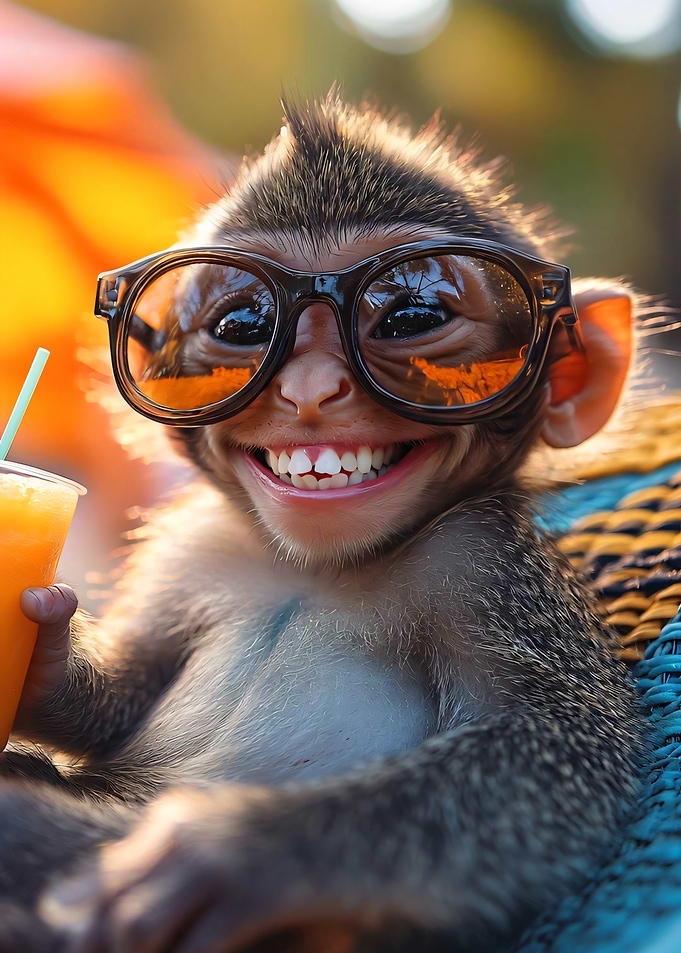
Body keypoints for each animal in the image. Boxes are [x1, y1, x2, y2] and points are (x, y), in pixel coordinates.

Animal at [0, 97, 645, 953]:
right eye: (243, 321)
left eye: (411, 315)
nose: (310, 389)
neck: (315, 567)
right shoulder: (191, 550)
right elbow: (123, 701)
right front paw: (43, 654)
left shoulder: (483, 559)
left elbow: (564, 748)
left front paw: (240, 849)